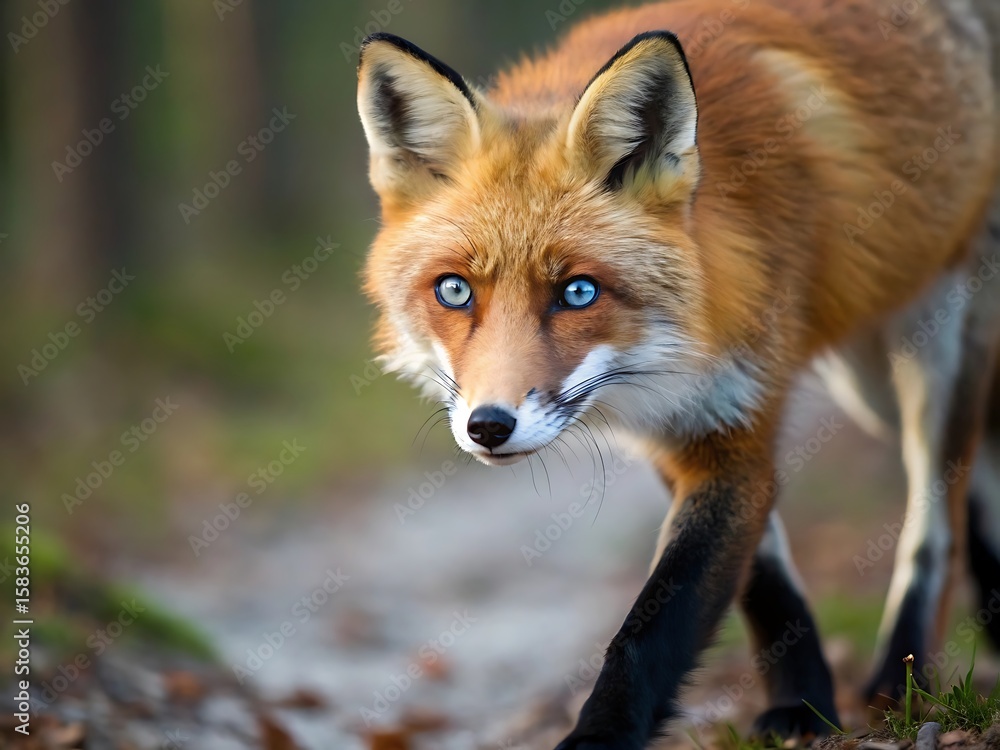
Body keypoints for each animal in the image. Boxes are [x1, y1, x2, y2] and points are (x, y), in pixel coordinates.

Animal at [356, 0, 1000, 747]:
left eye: (578, 292)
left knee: (938, 521)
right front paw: (802, 705)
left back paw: (903, 682)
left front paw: (599, 736)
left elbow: (653, 627)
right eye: (455, 291)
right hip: (870, 386)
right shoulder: (682, 427)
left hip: (934, 343)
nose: (489, 427)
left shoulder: (740, 413)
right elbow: (764, 586)